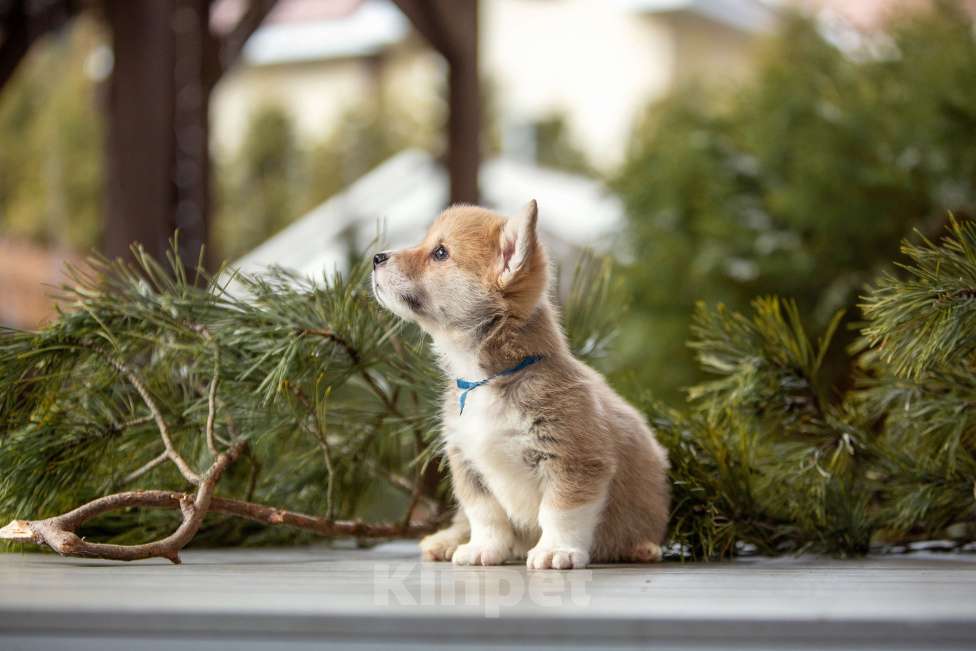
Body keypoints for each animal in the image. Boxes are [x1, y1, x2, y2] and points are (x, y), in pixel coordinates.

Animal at [370, 201, 668, 568]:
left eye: (440, 252)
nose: (376, 258)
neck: (487, 380)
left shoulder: (574, 460)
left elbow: (559, 512)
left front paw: (555, 550)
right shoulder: (468, 464)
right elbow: (484, 515)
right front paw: (483, 548)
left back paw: (642, 547)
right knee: (461, 521)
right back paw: (446, 541)